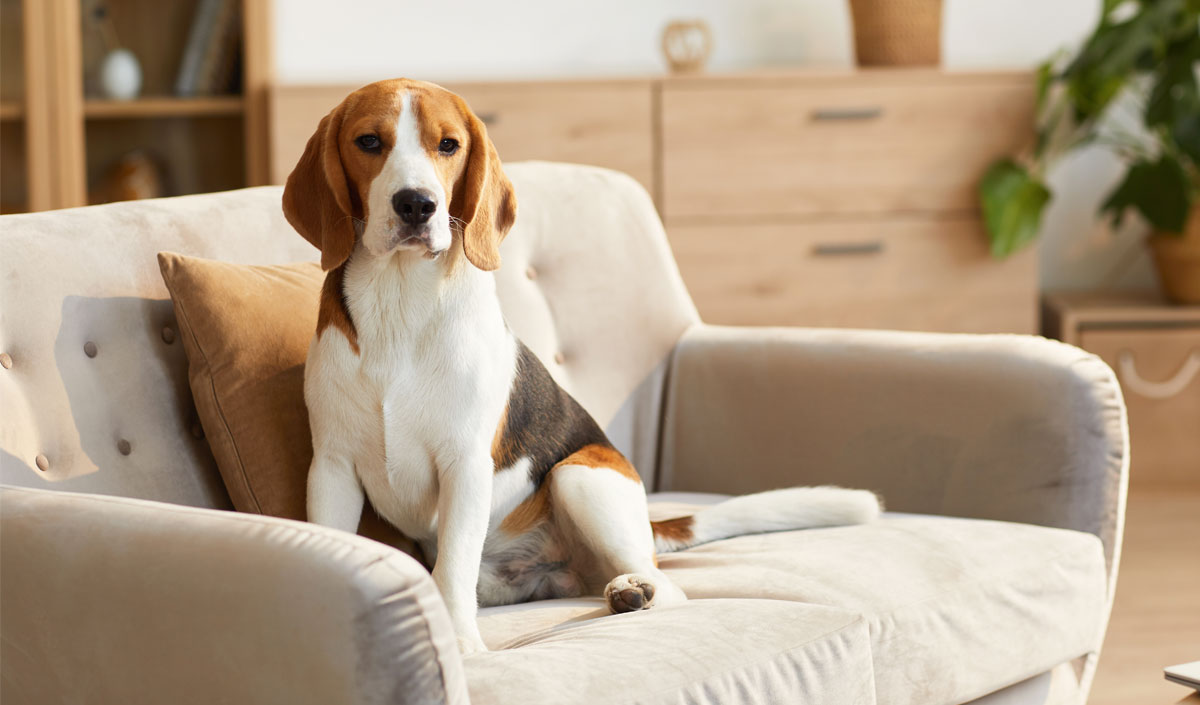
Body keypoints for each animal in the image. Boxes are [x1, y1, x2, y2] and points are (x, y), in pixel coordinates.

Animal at [282, 78, 883, 657]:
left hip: (579, 476)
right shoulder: (332, 467)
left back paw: (633, 592)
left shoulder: (465, 465)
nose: (416, 204)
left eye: (448, 145)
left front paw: (460, 643)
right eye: (369, 142)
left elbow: (451, 566)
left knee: (667, 585)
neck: (400, 300)